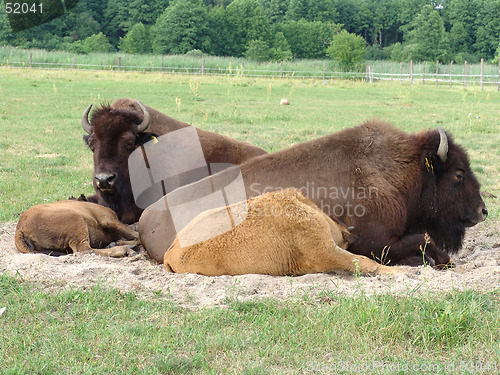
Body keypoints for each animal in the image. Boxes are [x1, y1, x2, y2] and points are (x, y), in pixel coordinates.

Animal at [139, 120, 486, 268]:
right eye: (458, 174)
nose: (483, 211)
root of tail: (146, 219)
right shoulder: (374, 241)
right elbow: (421, 240)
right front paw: (438, 261)